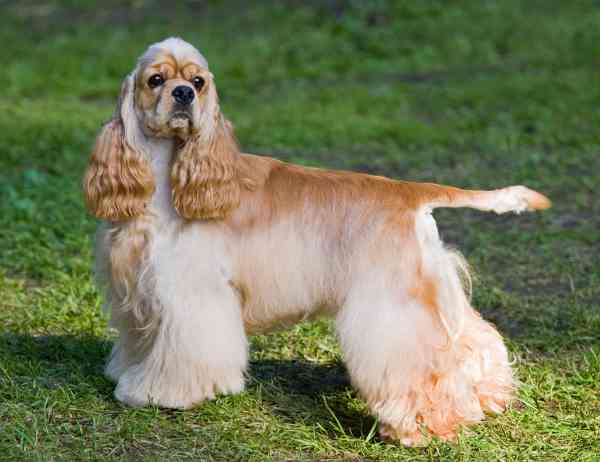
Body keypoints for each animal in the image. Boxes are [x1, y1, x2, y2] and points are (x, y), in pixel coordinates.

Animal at [82, 38, 552, 446]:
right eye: (155, 80)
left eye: (198, 82)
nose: (182, 94)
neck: (167, 177)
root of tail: (410, 192)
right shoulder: (137, 291)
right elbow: (140, 340)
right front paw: (129, 374)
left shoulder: (190, 294)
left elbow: (186, 352)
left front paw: (158, 393)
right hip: (431, 290)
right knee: (476, 340)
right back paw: (489, 397)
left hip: (395, 305)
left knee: (421, 365)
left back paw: (421, 426)